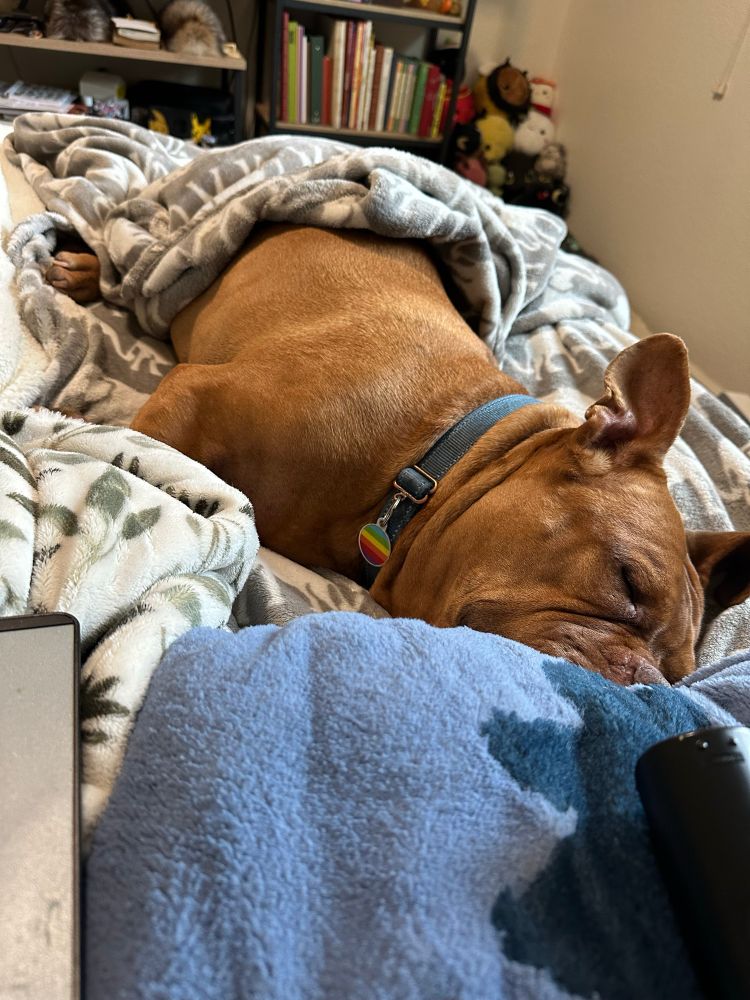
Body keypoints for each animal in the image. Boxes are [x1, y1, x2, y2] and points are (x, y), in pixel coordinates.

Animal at [46, 225, 750, 684]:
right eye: (627, 582)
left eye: (679, 675)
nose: (647, 686)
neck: (434, 460)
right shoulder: (192, 393)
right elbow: (142, 453)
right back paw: (84, 268)